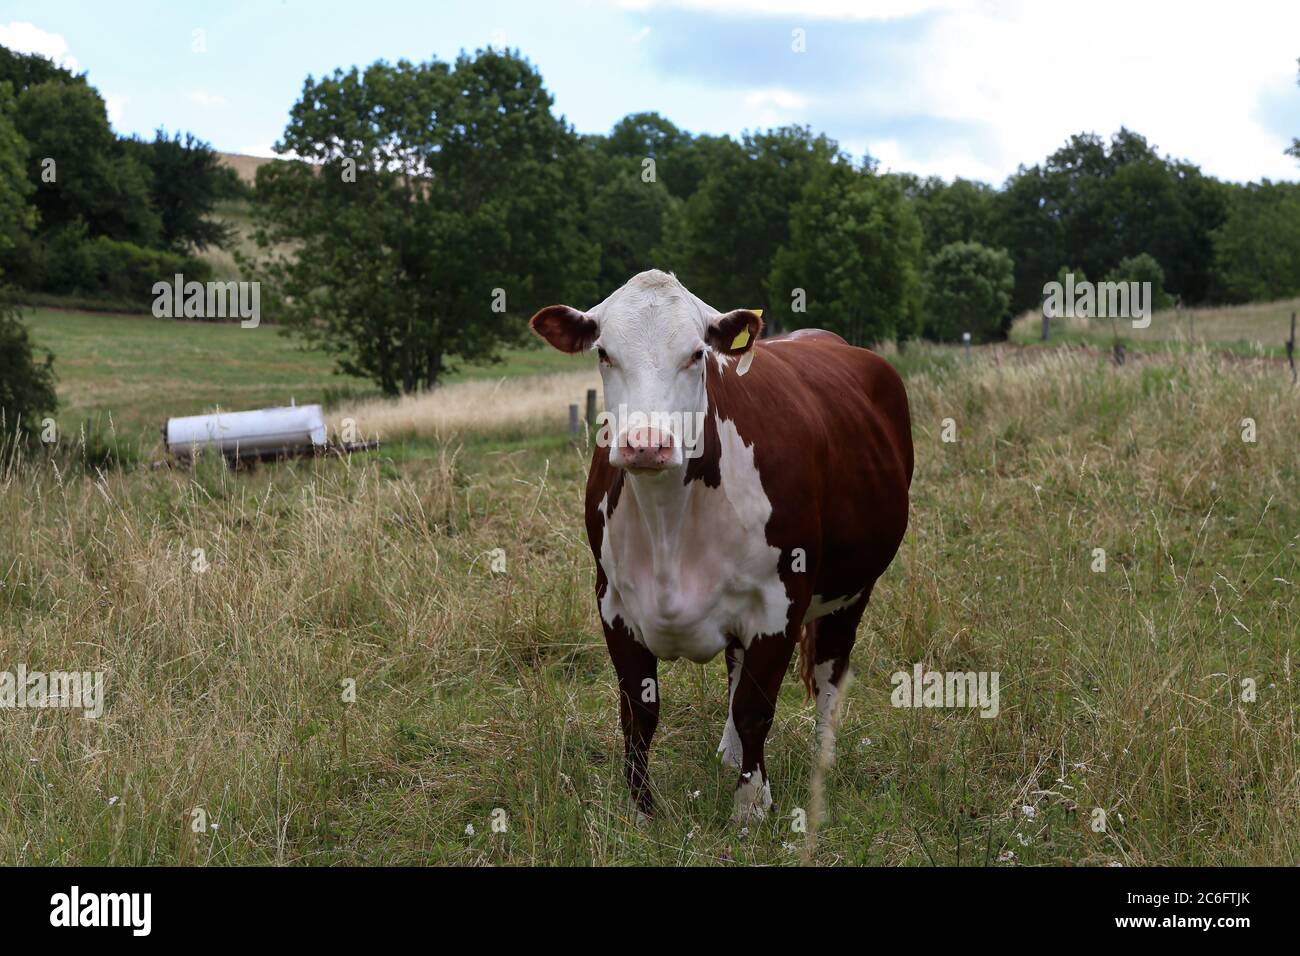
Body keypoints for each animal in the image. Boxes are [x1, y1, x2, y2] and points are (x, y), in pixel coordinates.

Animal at [529, 270, 913, 822]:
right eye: (603, 352)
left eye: (697, 354)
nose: (646, 443)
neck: (668, 520)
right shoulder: (612, 601)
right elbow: (639, 712)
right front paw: (642, 811)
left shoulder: (782, 600)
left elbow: (756, 709)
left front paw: (750, 807)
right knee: (737, 665)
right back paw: (730, 752)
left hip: (853, 588)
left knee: (829, 672)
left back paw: (821, 756)